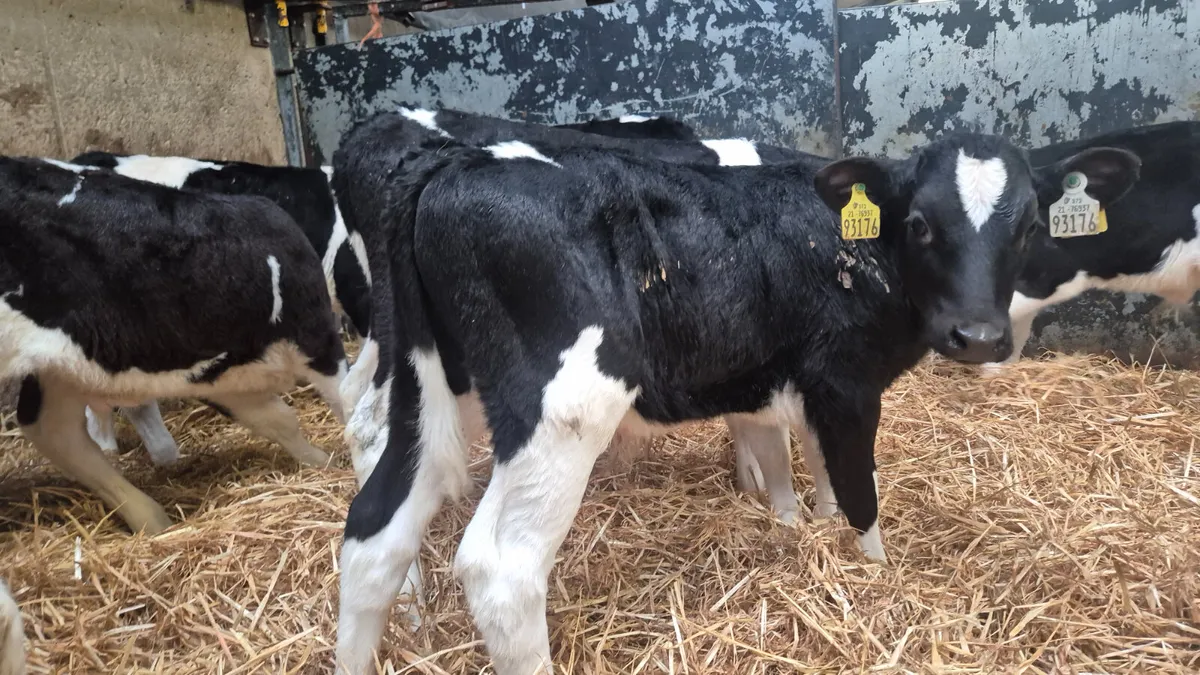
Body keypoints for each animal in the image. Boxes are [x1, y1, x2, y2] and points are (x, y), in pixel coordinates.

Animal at [329, 113, 1139, 674]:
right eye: (919, 223)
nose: (976, 335)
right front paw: (876, 580)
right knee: (501, 567)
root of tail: (452, 160)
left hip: (426, 385)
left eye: (1029, 225)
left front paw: (794, 527)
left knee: (375, 527)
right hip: (564, 406)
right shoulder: (846, 381)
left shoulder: (778, 375)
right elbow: (860, 496)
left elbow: (798, 465)